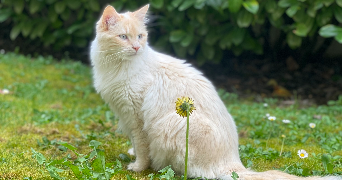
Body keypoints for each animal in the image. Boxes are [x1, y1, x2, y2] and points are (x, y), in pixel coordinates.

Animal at [89, 4, 340, 180]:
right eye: (123, 37)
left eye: (140, 36)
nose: (136, 47)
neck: (116, 67)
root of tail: (234, 164)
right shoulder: (124, 114)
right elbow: (135, 143)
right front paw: (132, 155)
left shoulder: (136, 117)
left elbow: (142, 148)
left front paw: (138, 167)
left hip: (171, 124)